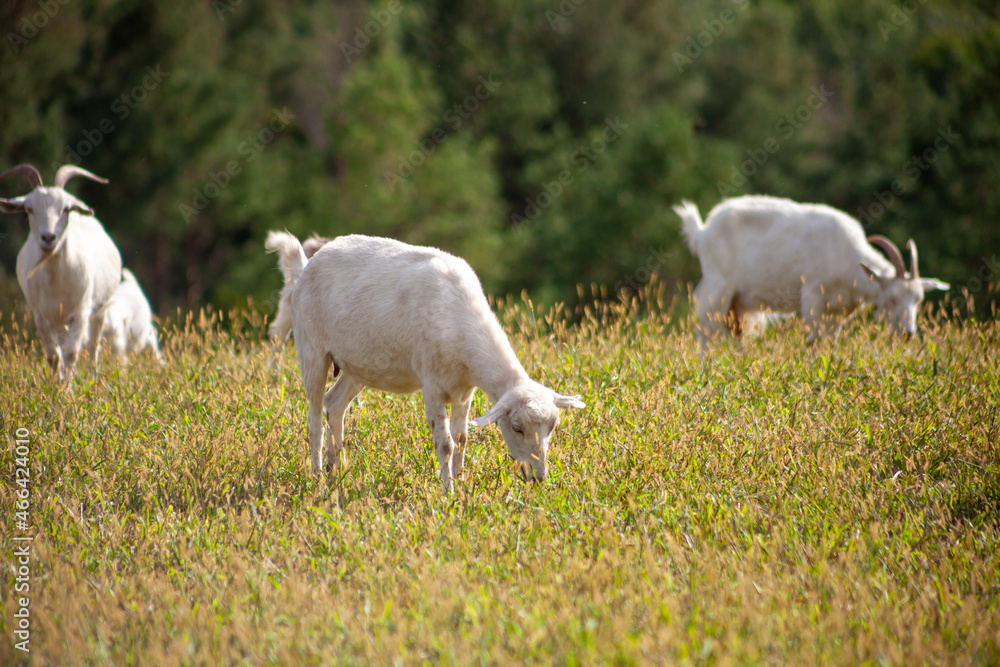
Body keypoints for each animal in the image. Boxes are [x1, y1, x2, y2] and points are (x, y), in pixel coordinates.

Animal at [1, 164, 122, 381]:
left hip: (99, 310)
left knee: (93, 347)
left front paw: (69, 387)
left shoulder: (81, 312)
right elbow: (54, 357)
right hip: (58, 321)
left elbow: (73, 353)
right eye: (29, 209)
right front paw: (58, 386)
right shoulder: (41, 317)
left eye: (65, 208)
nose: (49, 237)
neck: (56, 281)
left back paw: (93, 378)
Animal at [265, 231, 585, 492]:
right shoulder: (432, 386)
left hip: (358, 365)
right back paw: (318, 477)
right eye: (517, 427)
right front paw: (448, 493)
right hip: (311, 347)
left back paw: (338, 473)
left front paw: (461, 483)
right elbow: (445, 445)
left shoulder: (465, 392)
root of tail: (306, 266)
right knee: (314, 421)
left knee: (334, 405)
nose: (538, 477)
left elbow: (462, 438)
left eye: (552, 427)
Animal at [674, 195, 950, 344]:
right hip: (717, 289)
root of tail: (701, 232)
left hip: (740, 306)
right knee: (705, 333)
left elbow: (829, 342)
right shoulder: (813, 295)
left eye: (918, 299)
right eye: (891, 299)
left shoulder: (838, 312)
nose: (908, 334)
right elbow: (813, 341)